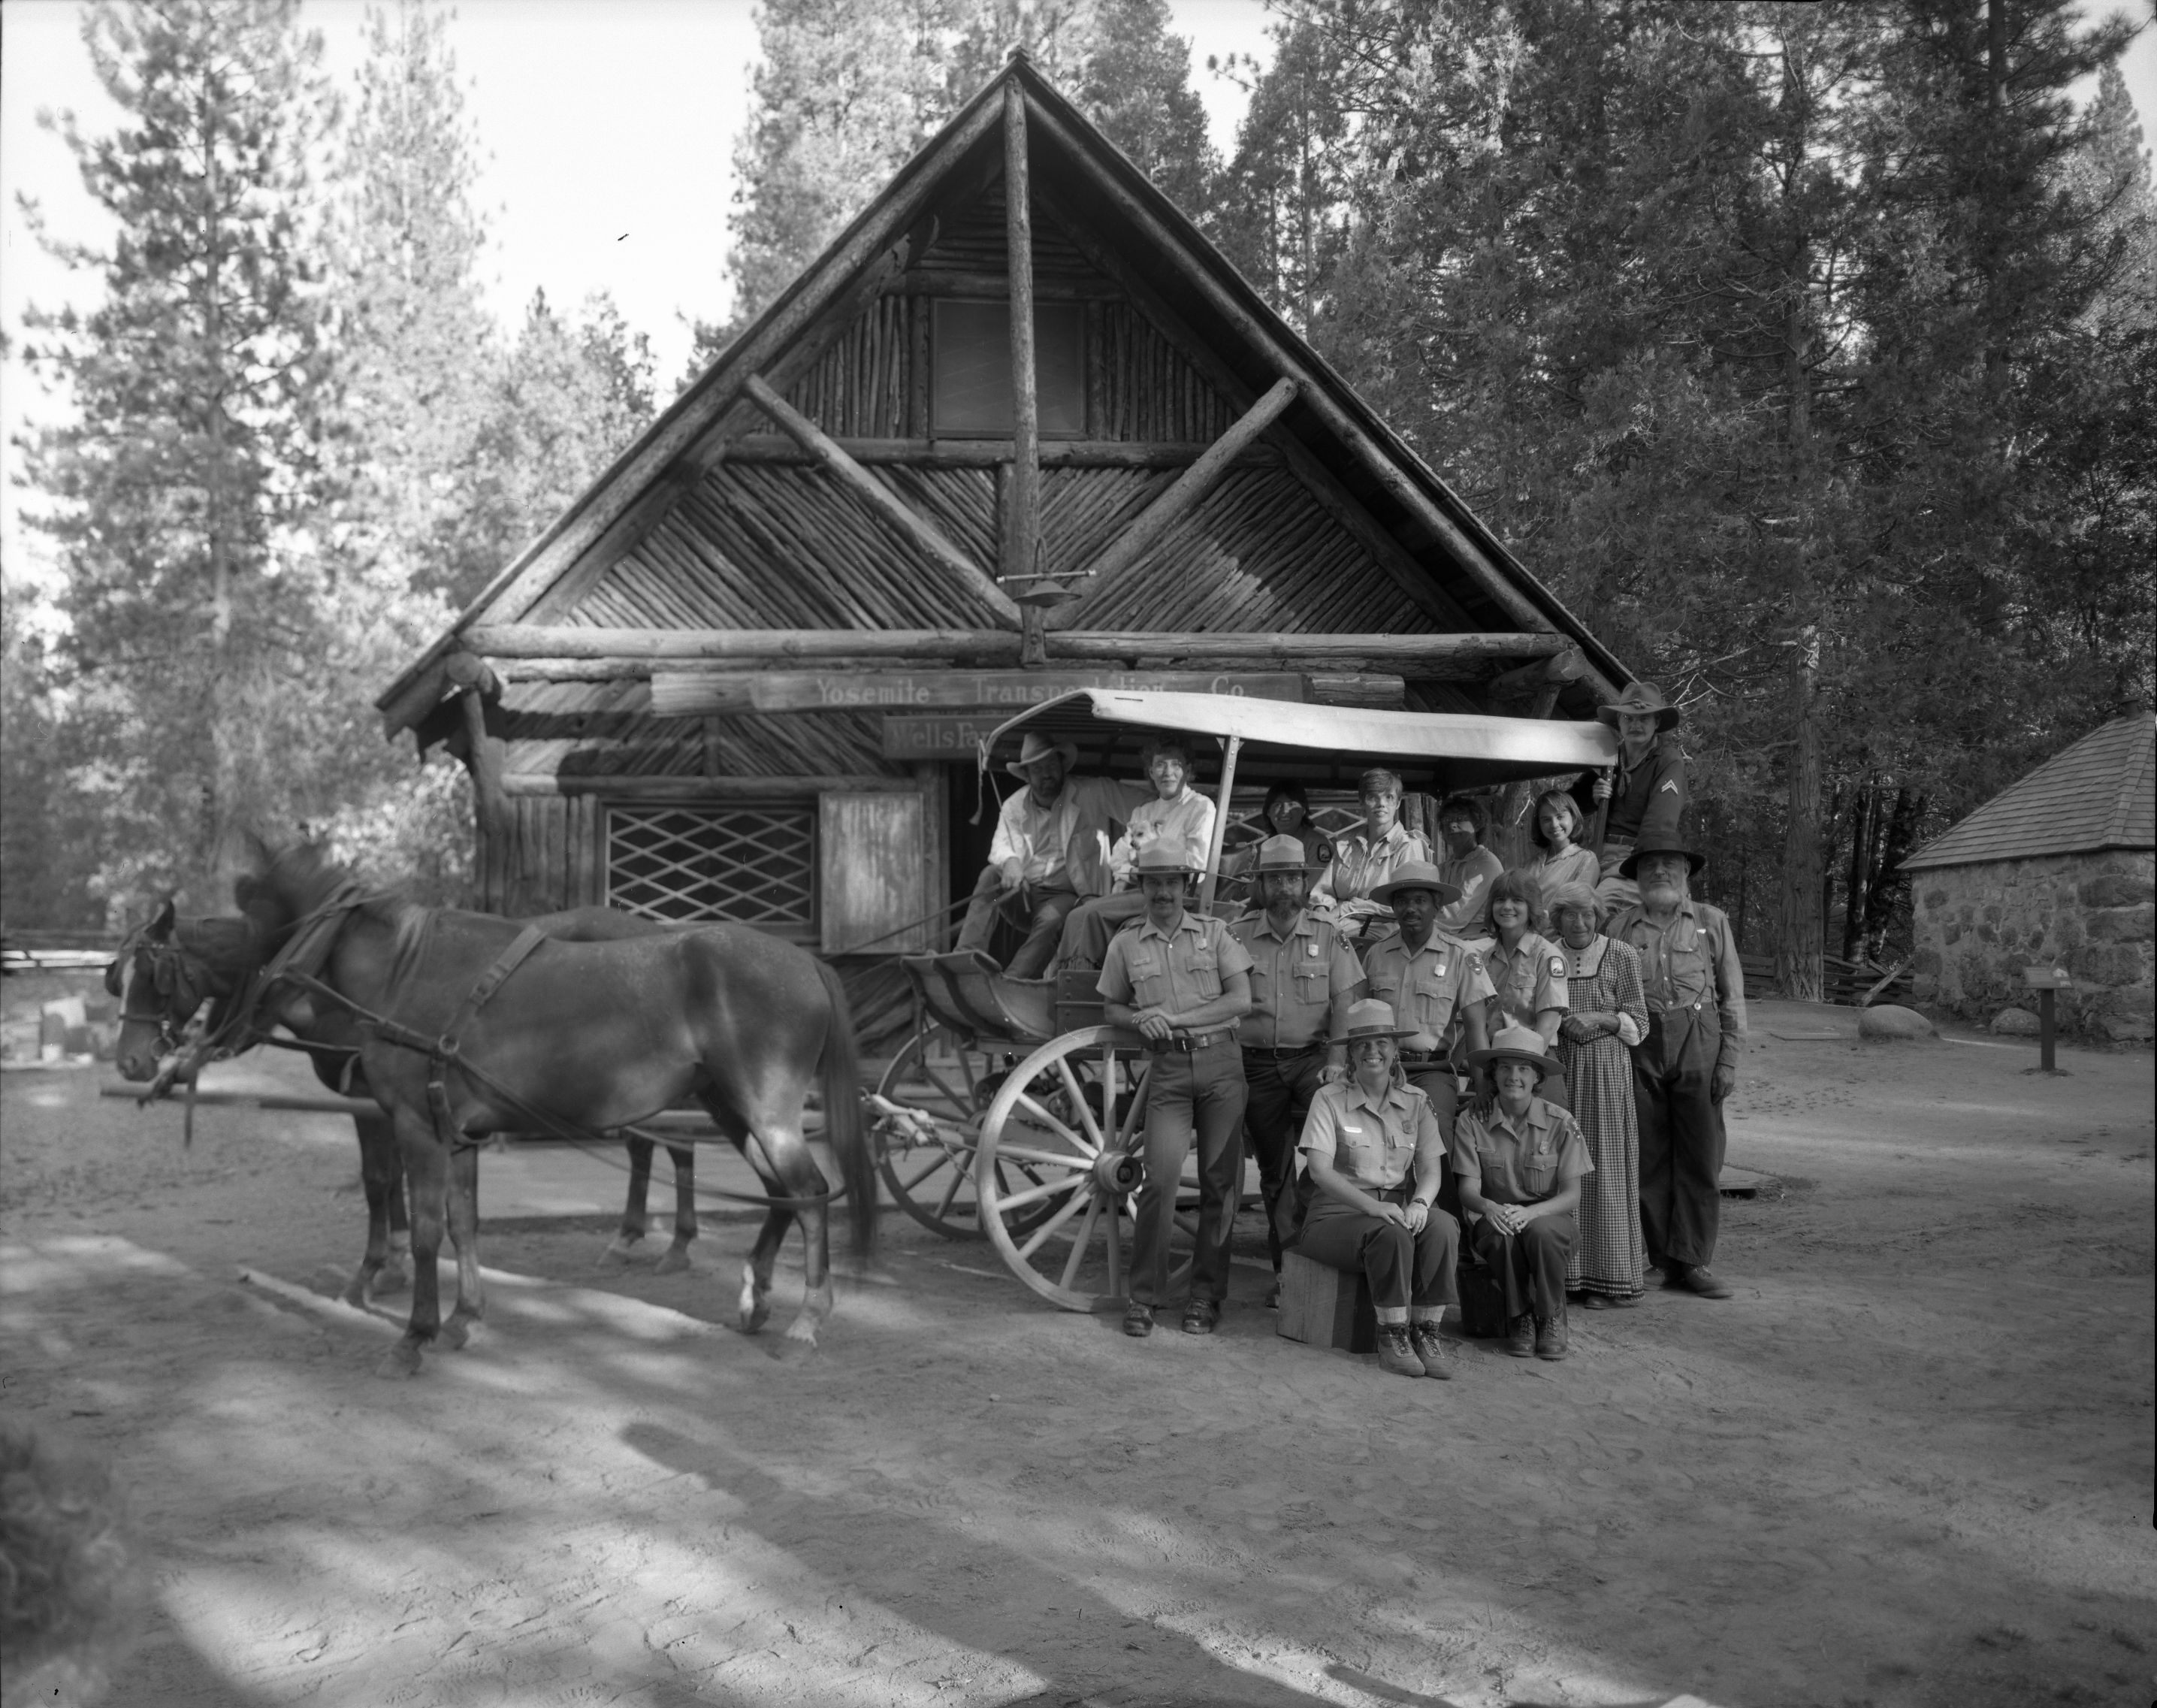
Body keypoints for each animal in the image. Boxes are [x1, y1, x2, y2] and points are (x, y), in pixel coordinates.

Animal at [111, 901, 707, 1302]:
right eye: (118, 977)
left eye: (155, 977)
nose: (130, 1062)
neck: (328, 978)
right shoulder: (395, 1105)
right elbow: (396, 1179)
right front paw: (398, 1262)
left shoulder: (375, 1103)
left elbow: (379, 1179)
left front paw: (376, 1269)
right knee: (651, 1146)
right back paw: (638, 1238)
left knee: (676, 1143)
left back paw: (673, 1244)